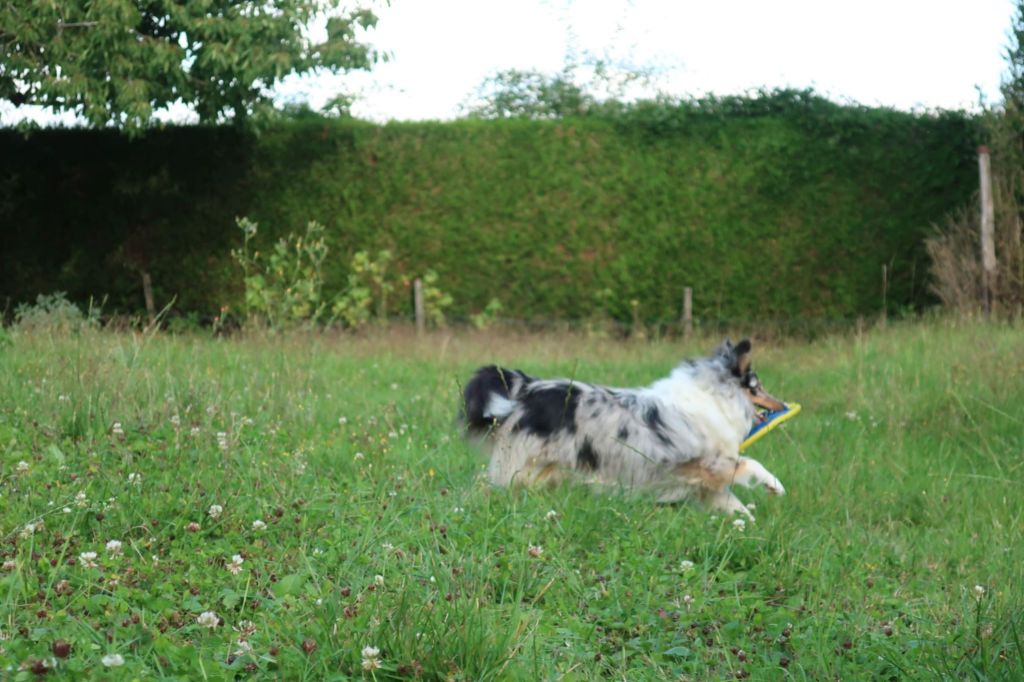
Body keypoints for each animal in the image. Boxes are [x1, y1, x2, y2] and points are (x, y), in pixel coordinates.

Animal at [460, 337, 786, 518]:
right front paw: (775, 485)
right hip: (523, 468)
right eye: (759, 387)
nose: (783, 402)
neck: (714, 395)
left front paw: (749, 529)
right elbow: (750, 463)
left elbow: (734, 506)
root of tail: (527, 388)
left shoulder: (705, 484)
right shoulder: (708, 465)